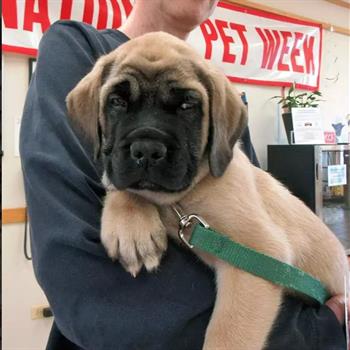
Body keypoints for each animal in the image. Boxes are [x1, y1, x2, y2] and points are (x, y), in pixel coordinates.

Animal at [66, 31, 348, 348]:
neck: (180, 203)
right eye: (116, 101)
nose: (147, 149)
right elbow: (123, 186)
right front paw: (131, 228)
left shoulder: (257, 256)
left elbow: (227, 335)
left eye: (187, 106)